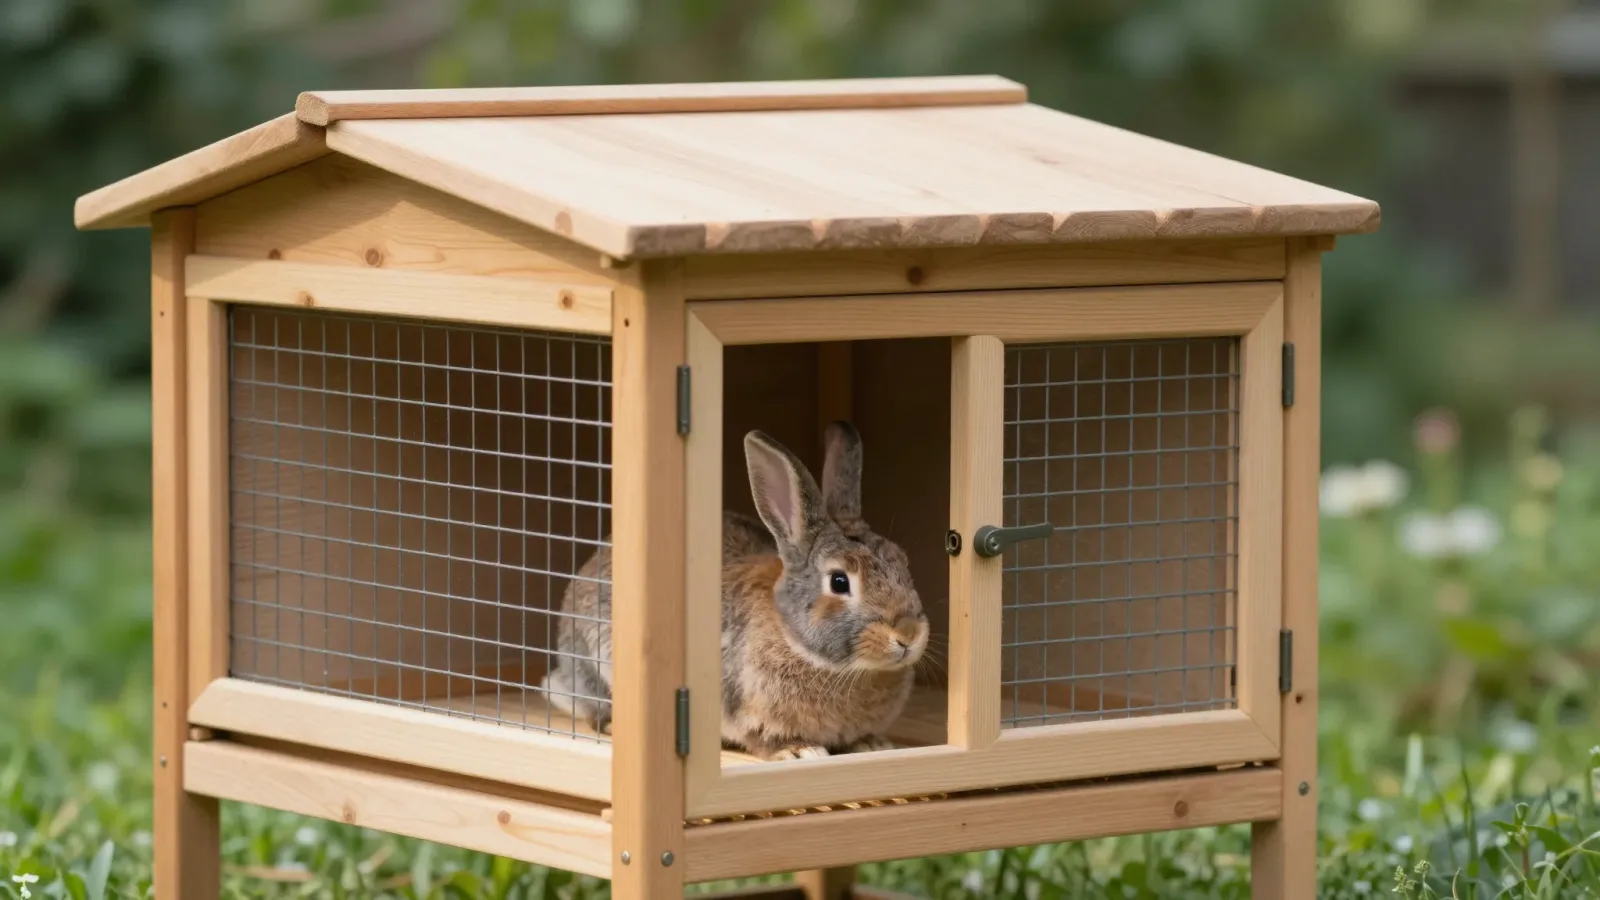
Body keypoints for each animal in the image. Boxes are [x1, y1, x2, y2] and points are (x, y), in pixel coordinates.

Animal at [540, 421, 929, 761]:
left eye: (903, 562)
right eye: (839, 582)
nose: (908, 634)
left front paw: (872, 744)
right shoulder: (744, 708)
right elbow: (762, 738)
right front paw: (799, 750)